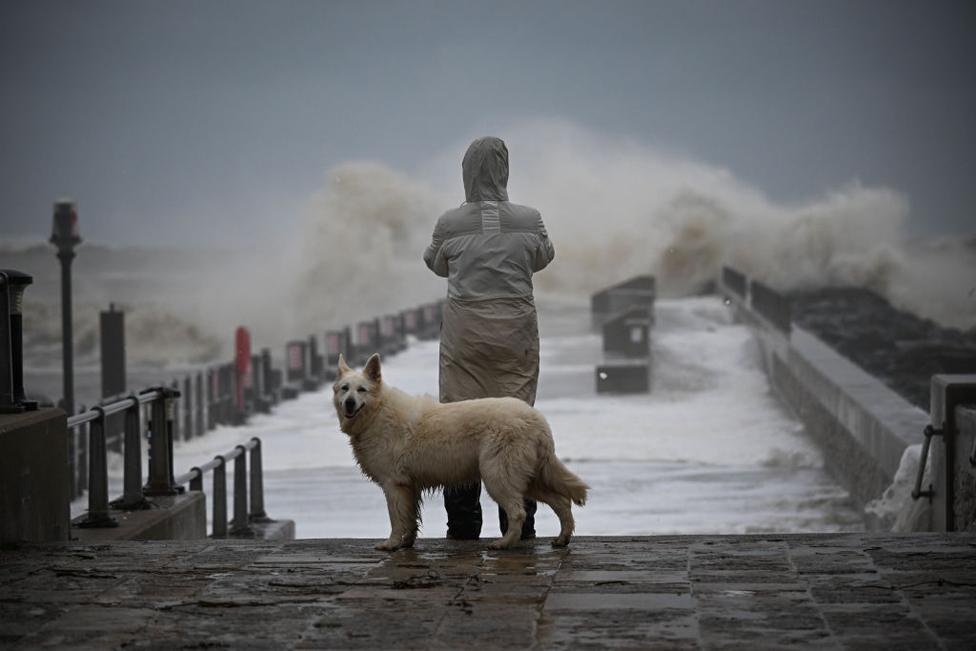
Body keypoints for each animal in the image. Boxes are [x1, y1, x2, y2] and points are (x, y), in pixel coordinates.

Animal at [334, 356, 588, 552]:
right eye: (344, 388)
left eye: (362, 390)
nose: (349, 403)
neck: (377, 412)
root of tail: (537, 419)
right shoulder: (409, 486)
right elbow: (411, 519)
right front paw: (407, 543)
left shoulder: (393, 484)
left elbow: (397, 519)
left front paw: (392, 544)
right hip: (528, 478)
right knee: (561, 502)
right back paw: (562, 538)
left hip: (497, 476)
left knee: (518, 512)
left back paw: (504, 543)